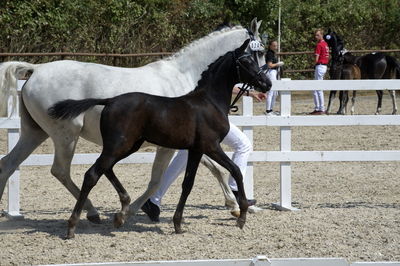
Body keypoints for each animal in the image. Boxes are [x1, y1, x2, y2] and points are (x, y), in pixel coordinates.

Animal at [0, 19, 266, 221]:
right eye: (260, 52)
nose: (266, 84)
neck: (187, 78)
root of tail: (36, 70)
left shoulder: (190, 143)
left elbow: (213, 169)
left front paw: (233, 205)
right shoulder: (176, 144)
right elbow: (161, 179)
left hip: (35, 132)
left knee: (8, 164)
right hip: (66, 136)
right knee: (60, 170)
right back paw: (93, 212)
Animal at [48, 39, 270, 239]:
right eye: (246, 61)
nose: (266, 84)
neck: (209, 102)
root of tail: (110, 100)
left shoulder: (196, 149)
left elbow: (188, 183)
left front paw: (178, 224)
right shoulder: (211, 146)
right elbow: (236, 171)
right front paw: (241, 216)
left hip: (127, 146)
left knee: (106, 168)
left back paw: (121, 212)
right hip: (118, 145)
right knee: (91, 174)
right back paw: (73, 226)